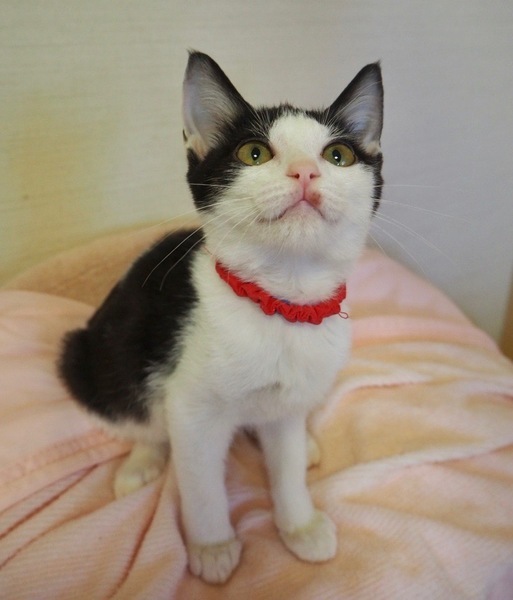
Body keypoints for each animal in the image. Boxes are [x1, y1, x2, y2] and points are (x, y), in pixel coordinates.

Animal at [58, 51, 383, 584]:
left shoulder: (289, 397)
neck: (282, 305)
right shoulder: (192, 410)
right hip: (93, 355)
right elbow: (200, 479)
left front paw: (299, 523)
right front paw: (212, 546)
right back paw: (141, 461)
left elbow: (285, 459)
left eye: (339, 156)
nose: (304, 173)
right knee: (138, 412)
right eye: (253, 153)